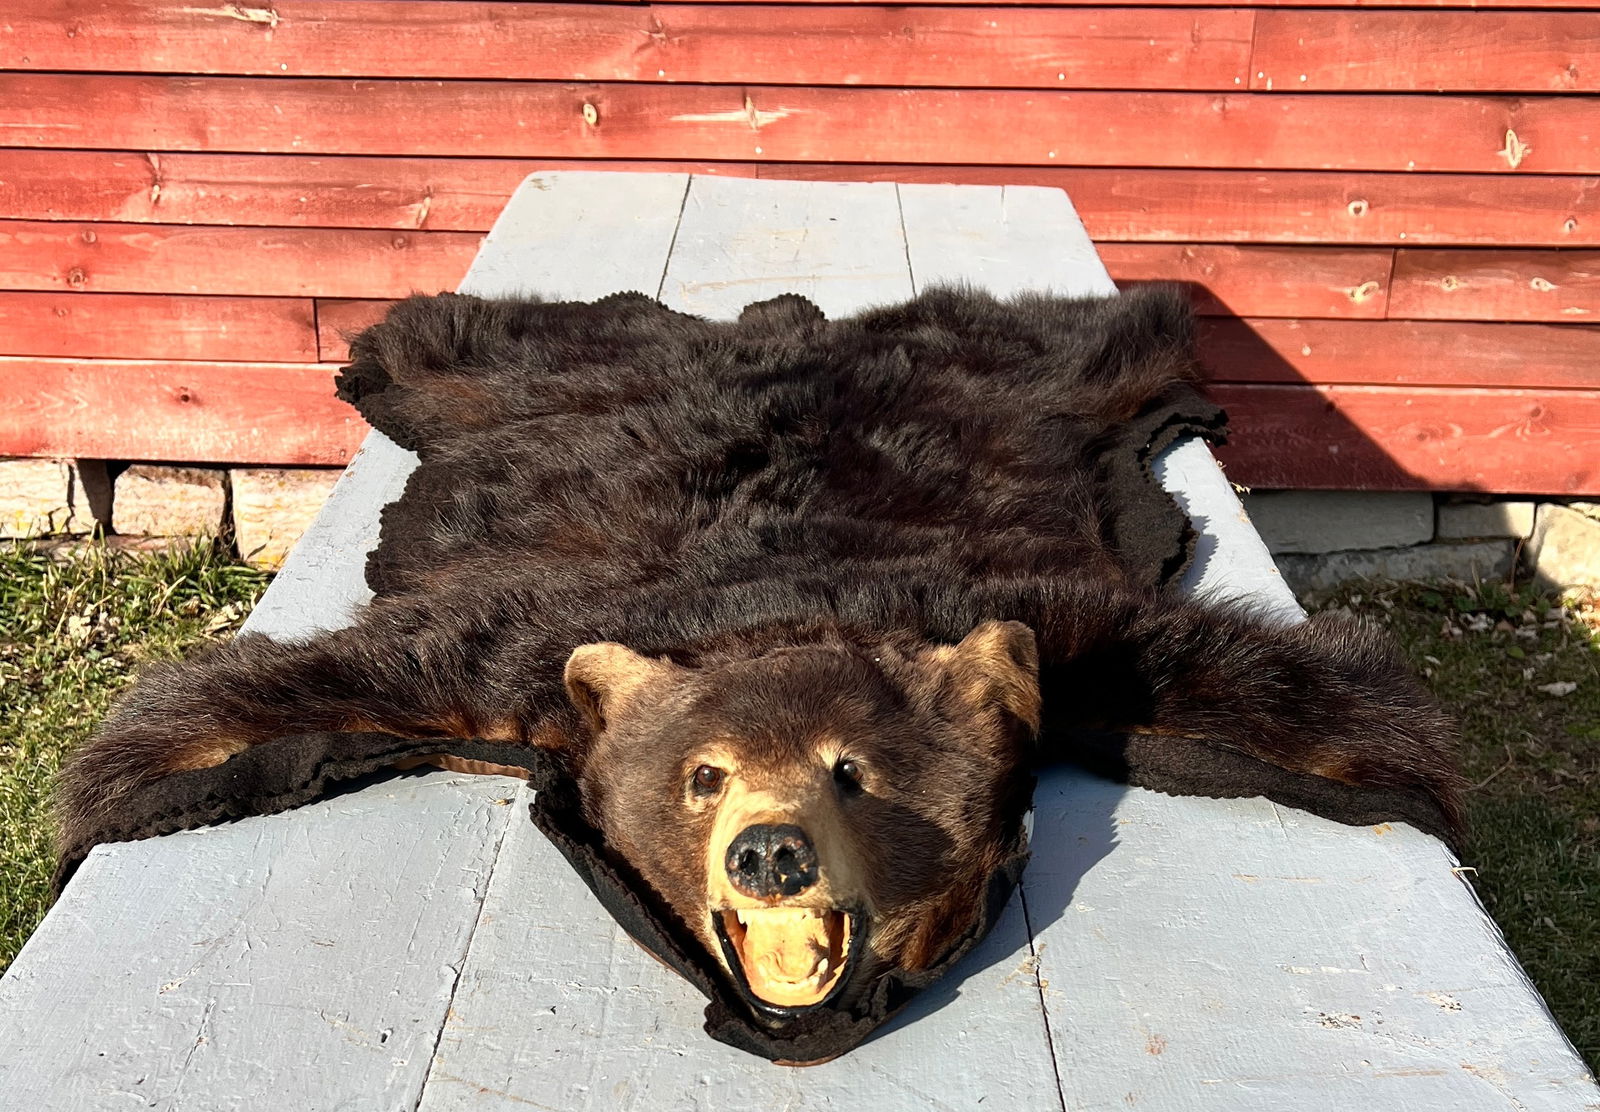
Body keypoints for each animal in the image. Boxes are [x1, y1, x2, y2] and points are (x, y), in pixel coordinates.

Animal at [55, 286, 1463, 1053]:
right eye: (700, 774)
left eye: (856, 771)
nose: (769, 851)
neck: (771, 611)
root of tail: (785, 326)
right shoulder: (503, 652)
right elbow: (306, 687)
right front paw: (130, 773)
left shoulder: (1066, 632)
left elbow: (1250, 682)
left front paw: (1404, 766)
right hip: (533, 376)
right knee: (483, 340)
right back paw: (397, 341)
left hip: (1035, 379)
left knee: (1079, 337)